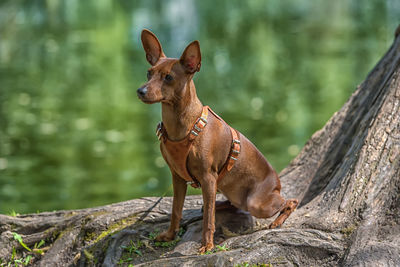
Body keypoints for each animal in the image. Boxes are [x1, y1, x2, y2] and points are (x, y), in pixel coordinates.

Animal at [138, 29, 296, 253]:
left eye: (168, 77)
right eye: (148, 73)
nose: (140, 91)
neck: (182, 126)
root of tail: (278, 184)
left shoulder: (208, 178)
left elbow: (208, 220)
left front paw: (207, 244)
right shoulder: (177, 177)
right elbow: (176, 210)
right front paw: (170, 235)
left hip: (256, 203)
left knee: (290, 201)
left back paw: (277, 220)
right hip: (234, 193)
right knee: (226, 204)